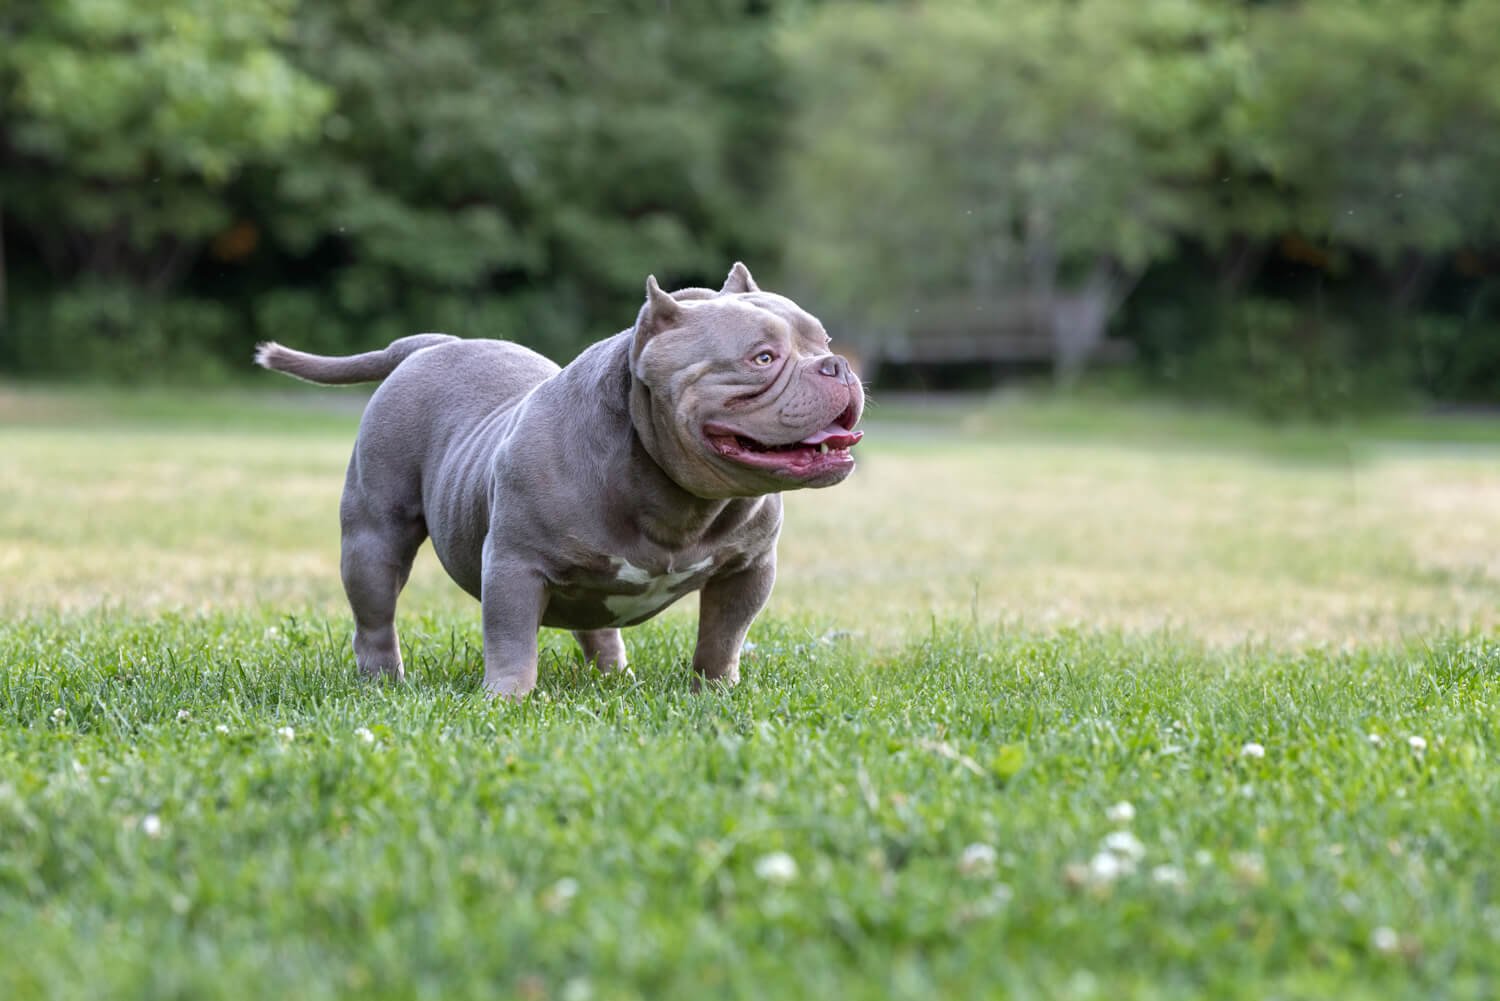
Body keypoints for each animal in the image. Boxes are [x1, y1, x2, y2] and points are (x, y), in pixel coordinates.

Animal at [258, 264, 870, 696]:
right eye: (762, 358)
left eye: (823, 342)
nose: (838, 365)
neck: (676, 496)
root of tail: (435, 345)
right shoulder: (514, 565)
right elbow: (511, 640)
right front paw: (506, 699)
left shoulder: (749, 569)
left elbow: (723, 637)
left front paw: (715, 692)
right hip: (372, 537)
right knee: (375, 613)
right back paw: (383, 680)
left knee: (598, 624)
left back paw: (615, 676)